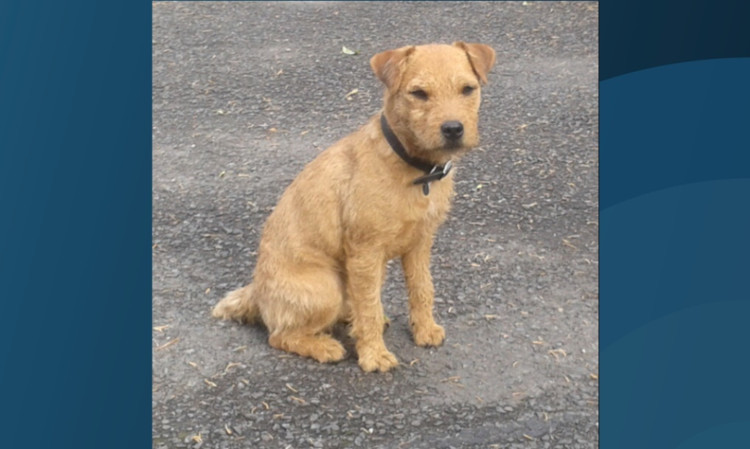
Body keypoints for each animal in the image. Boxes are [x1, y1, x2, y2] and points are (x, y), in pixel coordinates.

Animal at [213, 42, 494, 372]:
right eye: (419, 93)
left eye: (468, 89)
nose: (453, 129)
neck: (411, 167)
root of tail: (256, 291)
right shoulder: (365, 251)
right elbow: (369, 309)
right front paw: (374, 355)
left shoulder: (420, 244)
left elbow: (421, 288)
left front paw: (424, 330)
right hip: (327, 288)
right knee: (281, 335)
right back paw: (324, 346)